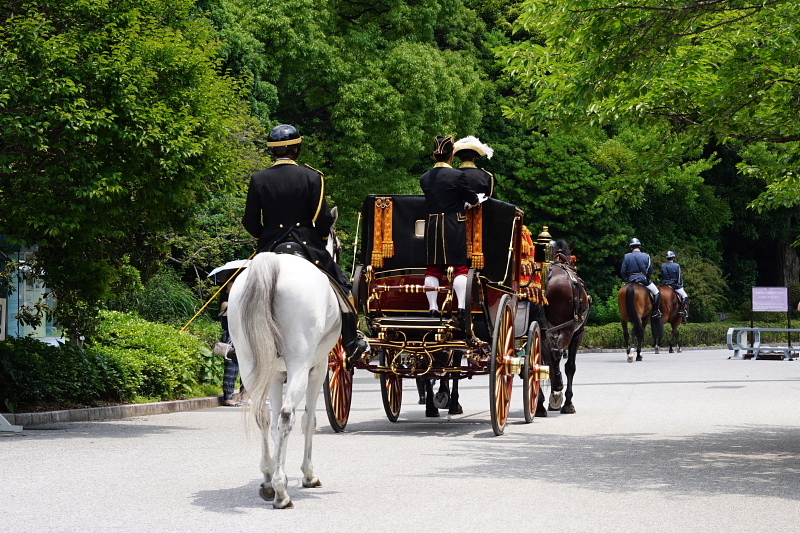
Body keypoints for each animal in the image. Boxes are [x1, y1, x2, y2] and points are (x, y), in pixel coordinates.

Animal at [227, 213, 342, 508]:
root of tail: (274, 263)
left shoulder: (276, 374)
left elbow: (274, 423)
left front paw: (276, 474)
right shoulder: (318, 368)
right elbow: (308, 420)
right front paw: (306, 475)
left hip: (250, 366)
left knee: (264, 416)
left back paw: (269, 480)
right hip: (300, 365)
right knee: (288, 416)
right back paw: (280, 491)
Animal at [540, 241, 592, 416]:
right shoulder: (578, 334)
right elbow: (570, 367)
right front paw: (567, 402)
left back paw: (540, 404)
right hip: (568, 330)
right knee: (556, 354)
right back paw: (557, 387)